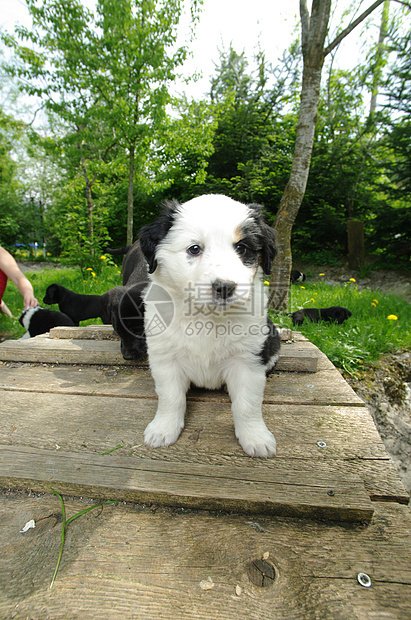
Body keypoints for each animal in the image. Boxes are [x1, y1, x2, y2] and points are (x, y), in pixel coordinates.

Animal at [140, 196, 282, 458]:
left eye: (241, 248)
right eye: (194, 249)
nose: (225, 287)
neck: (206, 316)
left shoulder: (248, 360)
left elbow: (247, 404)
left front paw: (255, 437)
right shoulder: (165, 358)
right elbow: (170, 397)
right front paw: (163, 429)